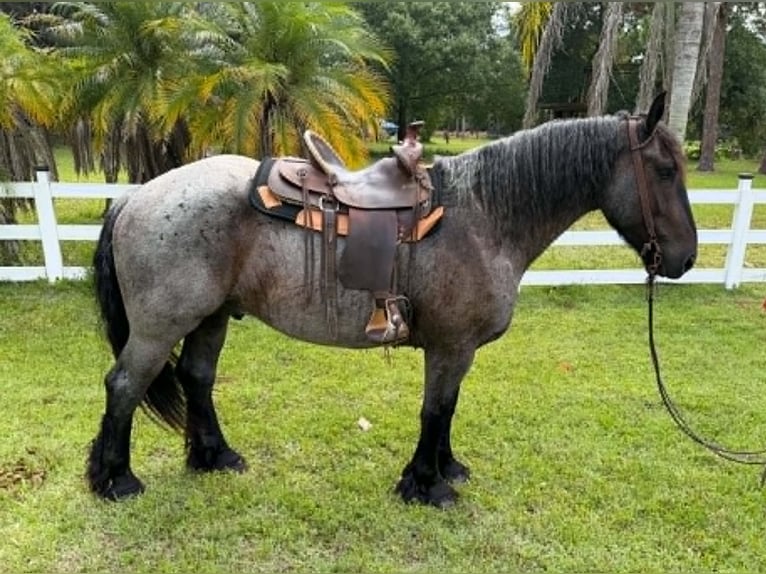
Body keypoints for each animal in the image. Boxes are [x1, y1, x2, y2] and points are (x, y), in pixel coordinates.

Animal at [88, 93, 697, 507]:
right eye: (666, 170)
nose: (685, 259)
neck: (485, 216)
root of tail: (136, 195)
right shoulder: (450, 347)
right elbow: (436, 409)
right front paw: (425, 484)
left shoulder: (457, 351)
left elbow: (448, 409)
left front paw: (446, 469)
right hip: (160, 325)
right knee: (124, 384)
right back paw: (116, 479)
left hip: (211, 316)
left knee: (197, 377)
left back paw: (215, 457)